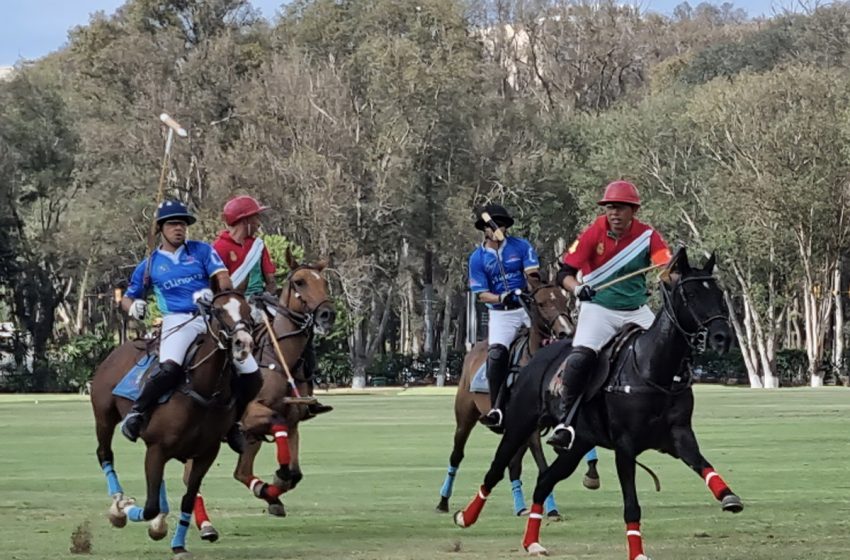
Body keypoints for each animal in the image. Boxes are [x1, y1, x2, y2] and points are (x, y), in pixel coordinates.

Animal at [92, 290, 253, 556]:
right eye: (218, 311)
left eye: (249, 310)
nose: (243, 343)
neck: (203, 389)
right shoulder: (158, 448)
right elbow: (149, 506)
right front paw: (124, 509)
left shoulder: (205, 453)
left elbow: (186, 498)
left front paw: (178, 544)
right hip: (104, 417)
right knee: (104, 453)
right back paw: (118, 502)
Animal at [190, 252, 336, 532]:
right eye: (299, 282)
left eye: (324, 282)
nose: (326, 315)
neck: (282, 358)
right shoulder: (252, 416)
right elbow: (285, 465)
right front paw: (275, 483)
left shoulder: (292, 423)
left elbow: (294, 473)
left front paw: (272, 492)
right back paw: (204, 523)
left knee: (241, 472)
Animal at [434, 286, 600, 520]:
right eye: (541, 303)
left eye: (564, 299)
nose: (566, 331)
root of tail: (473, 350)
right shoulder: (530, 427)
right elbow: (542, 465)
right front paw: (552, 508)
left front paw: (590, 475)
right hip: (466, 416)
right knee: (457, 455)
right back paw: (443, 501)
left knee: (513, 464)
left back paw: (520, 506)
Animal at [454, 249, 740, 560]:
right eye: (690, 294)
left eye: (718, 293)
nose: (722, 336)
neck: (654, 370)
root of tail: (538, 356)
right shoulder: (625, 446)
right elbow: (631, 506)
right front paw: (637, 552)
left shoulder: (679, 435)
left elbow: (703, 464)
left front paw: (729, 497)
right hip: (518, 423)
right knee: (495, 468)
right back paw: (465, 516)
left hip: (577, 444)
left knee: (545, 481)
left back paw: (532, 542)